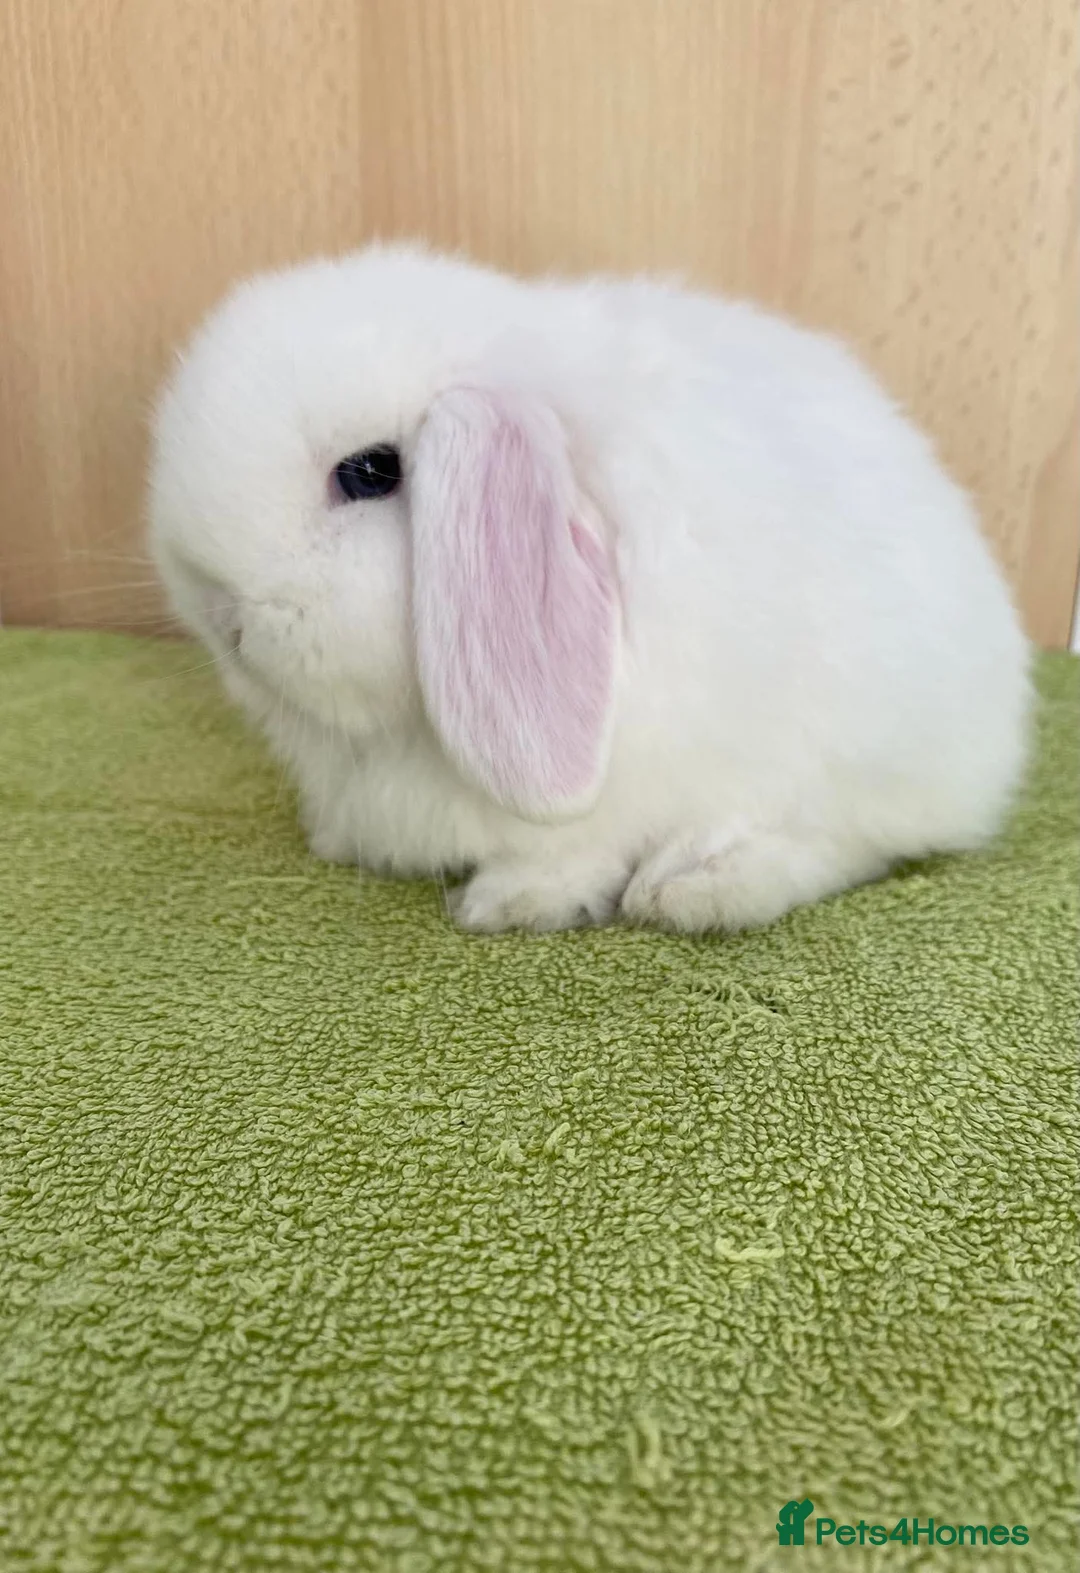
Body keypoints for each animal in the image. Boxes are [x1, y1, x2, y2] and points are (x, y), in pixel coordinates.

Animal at [148, 243, 1031, 933]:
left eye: (371, 471)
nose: (219, 613)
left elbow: (574, 847)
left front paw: (510, 903)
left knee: (846, 842)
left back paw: (695, 886)